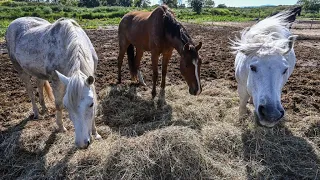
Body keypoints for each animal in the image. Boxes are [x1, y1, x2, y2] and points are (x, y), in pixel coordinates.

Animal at [6, 16, 101, 148]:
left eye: (91, 104)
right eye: (67, 106)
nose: (82, 144)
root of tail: (13, 22)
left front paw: (95, 133)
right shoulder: (57, 81)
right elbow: (58, 104)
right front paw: (61, 127)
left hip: (38, 72)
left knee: (40, 85)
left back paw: (45, 108)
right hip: (21, 70)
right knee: (30, 92)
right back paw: (36, 113)